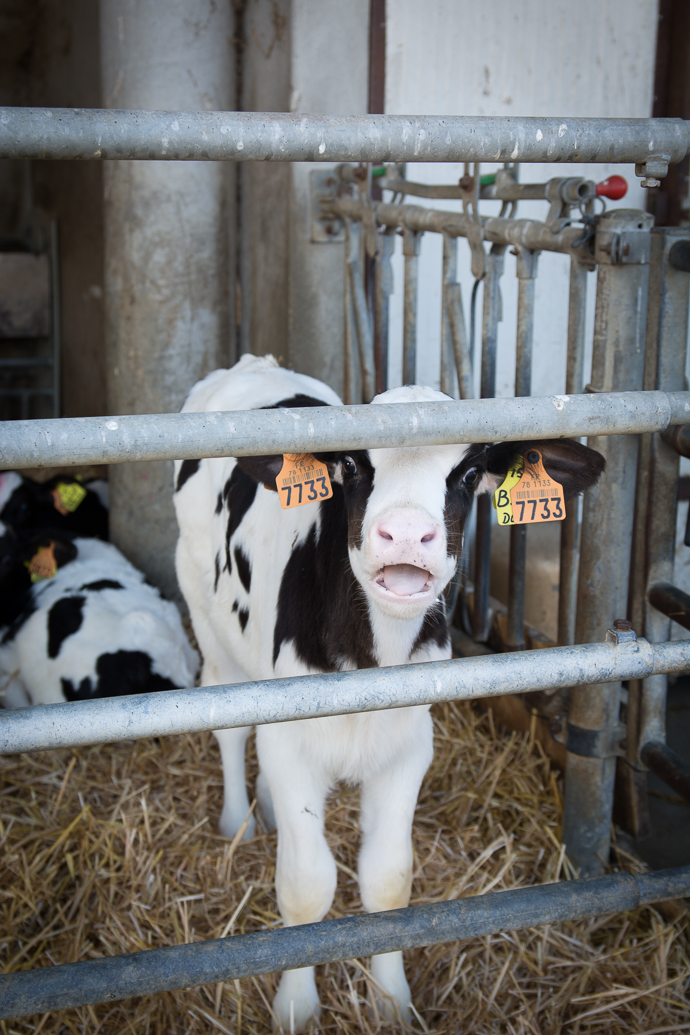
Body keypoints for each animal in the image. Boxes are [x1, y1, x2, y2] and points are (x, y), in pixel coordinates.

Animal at [175, 353, 608, 1026]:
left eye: (470, 471)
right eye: (352, 464)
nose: (405, 533)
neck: (370, 657)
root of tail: (253, 364)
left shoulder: (407, 749)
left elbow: (387, 881)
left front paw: (390, 1003)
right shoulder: (294, 748)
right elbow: (306, 886)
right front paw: (296, 1007)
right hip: (208, 624)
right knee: (230, 727)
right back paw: (238, 822)